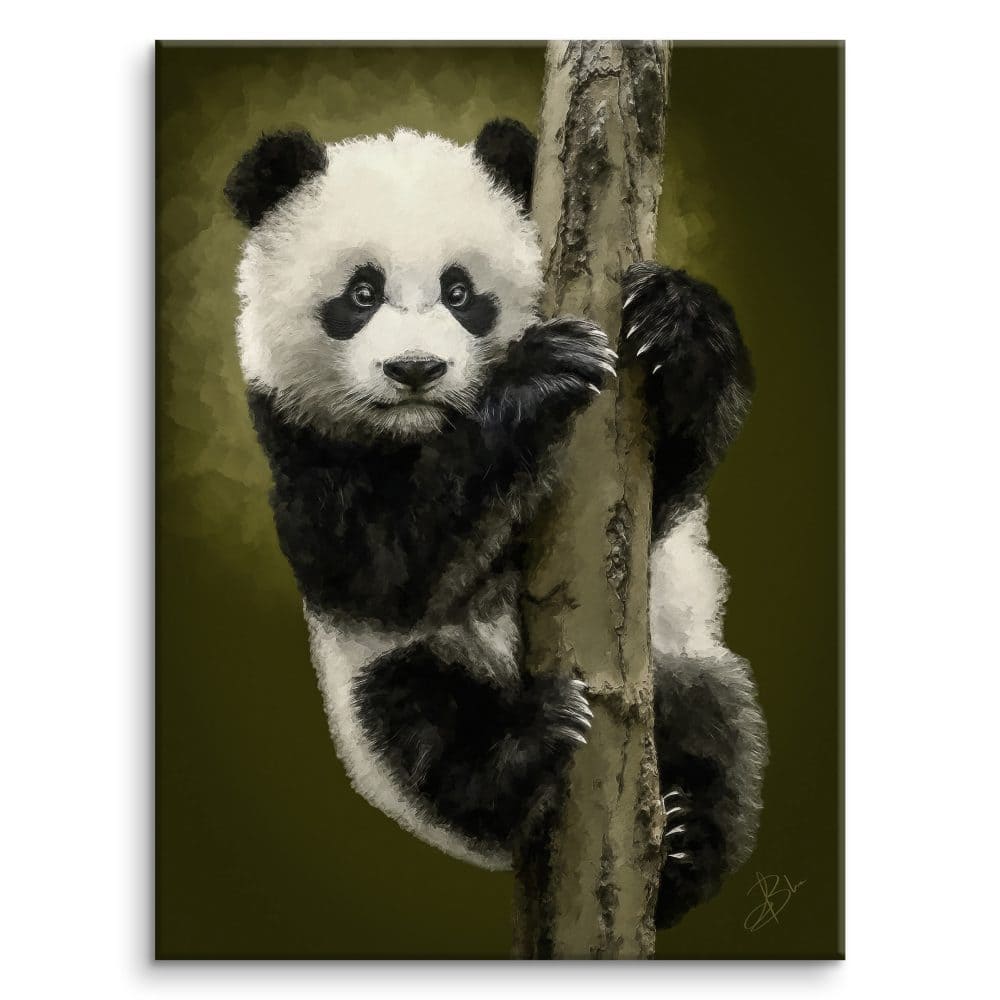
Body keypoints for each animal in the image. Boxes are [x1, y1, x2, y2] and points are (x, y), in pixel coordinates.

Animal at [224, 119, 767, 928]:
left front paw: (674, 317)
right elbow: (391, 575)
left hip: (679, 656)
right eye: (361, 293)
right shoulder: (300, 450)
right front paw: (533, 383)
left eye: (460, 293)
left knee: (717, 731)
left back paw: (682, 848)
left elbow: (662, 493)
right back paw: (529, 746)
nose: (415, 370)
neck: (420, 432)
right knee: (417, 722)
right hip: (377, 698)